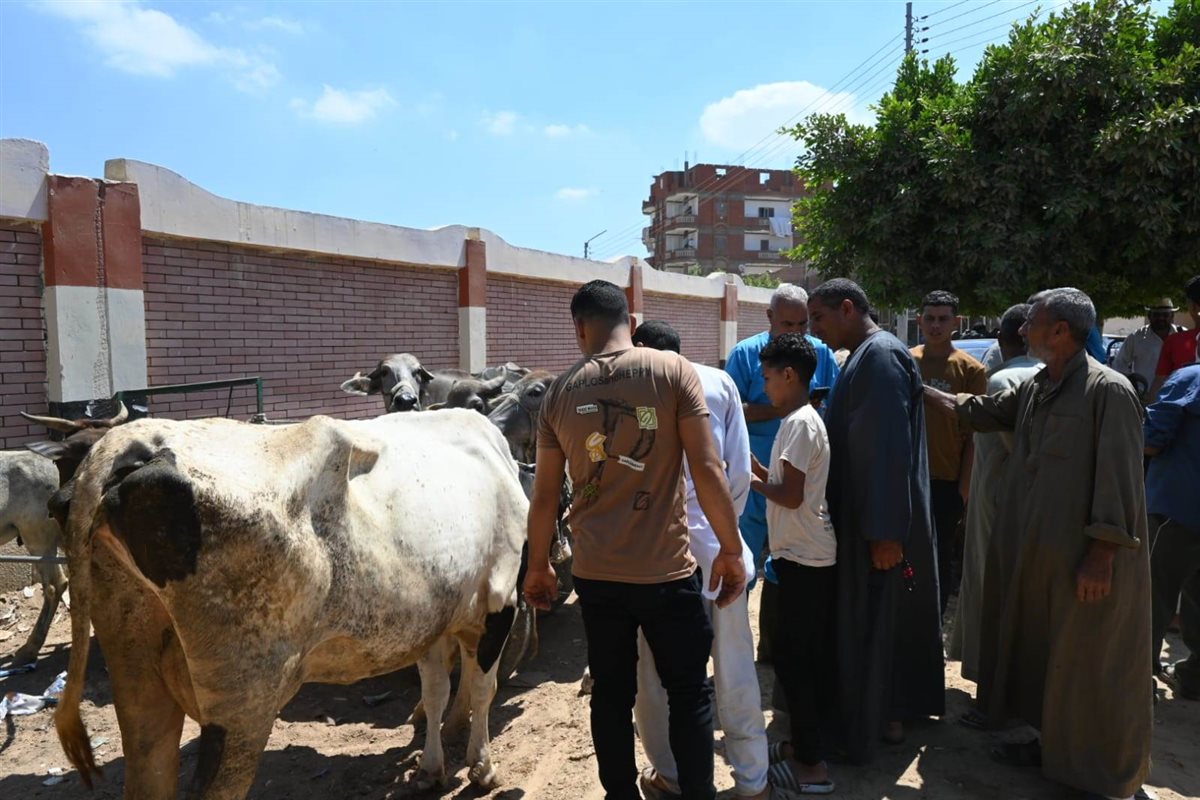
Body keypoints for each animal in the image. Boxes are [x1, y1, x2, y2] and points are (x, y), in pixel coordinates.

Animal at [54, 410, 527, 798]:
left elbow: (434, 691)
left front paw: (431, 768)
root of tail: (130, 442)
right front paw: (482, 767)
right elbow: (482, 687)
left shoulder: (432, 617)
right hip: (245, 697)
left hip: (136, 669)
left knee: (147, 768)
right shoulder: (500, 598)